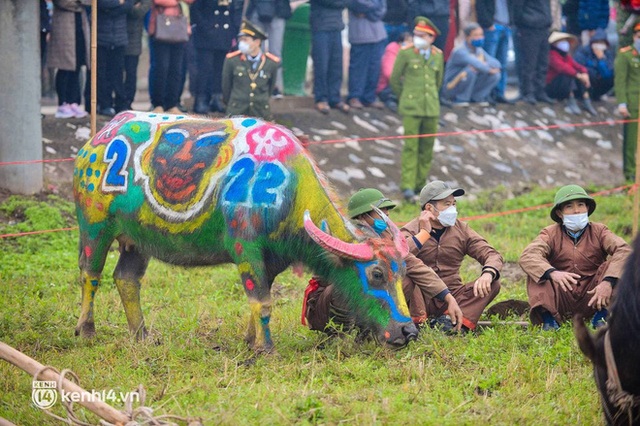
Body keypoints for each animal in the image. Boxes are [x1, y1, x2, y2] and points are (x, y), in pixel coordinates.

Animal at [75, 111, 418, 352]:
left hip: (137, 240)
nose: (408, 331)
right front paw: (266, 349)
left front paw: (251, 342)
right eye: (376, 273)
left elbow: (261, 299)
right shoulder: (245, 248)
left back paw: (142, 335)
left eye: (402, 272)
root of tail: (99, 138)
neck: (286, 191)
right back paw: (86, 331)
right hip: (95, 227)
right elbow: (261, 301)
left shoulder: (273, 261)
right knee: (91, 275)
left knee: (126, 279)